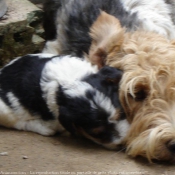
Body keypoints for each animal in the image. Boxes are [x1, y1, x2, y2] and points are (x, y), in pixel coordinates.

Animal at [0, 53, 129, 149]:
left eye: (121, 114)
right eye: (97, 133)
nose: (123, 143)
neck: (70, 81)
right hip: (5, 111)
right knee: (18, 123)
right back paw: (45, 129)